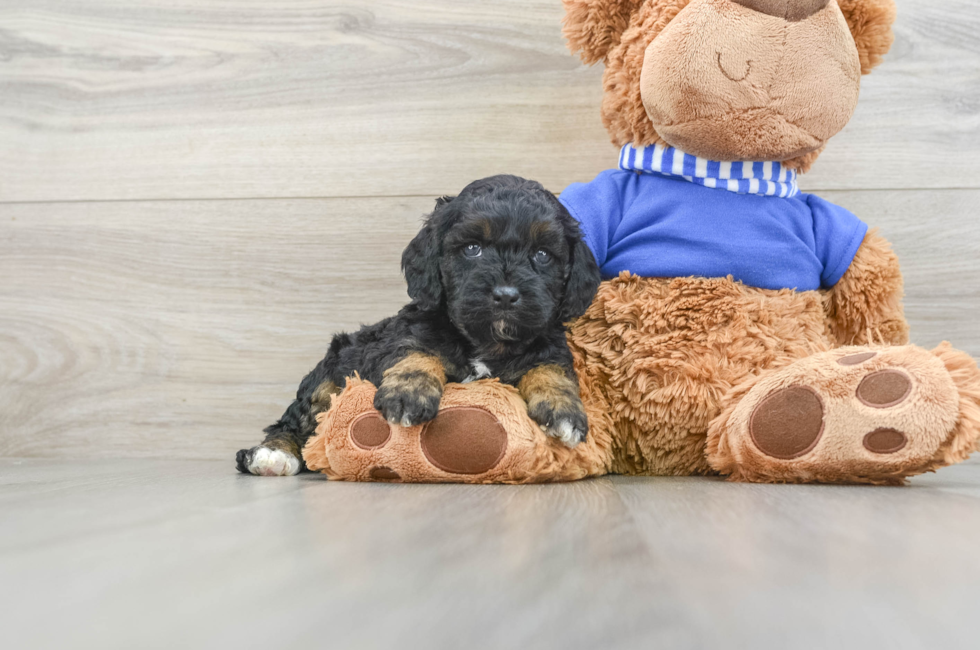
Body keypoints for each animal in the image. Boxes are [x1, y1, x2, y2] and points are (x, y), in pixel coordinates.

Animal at [240, 175, 600, 474]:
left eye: (542, 254)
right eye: (473, 248)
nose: (506, 295)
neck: (485, 341)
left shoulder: (548, 344)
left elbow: (551, 368)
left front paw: (563, 409)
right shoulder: (403, 335)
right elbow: (415, 350)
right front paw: (409, 392)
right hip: (328, 374)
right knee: (296, 419)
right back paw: (273, 455)